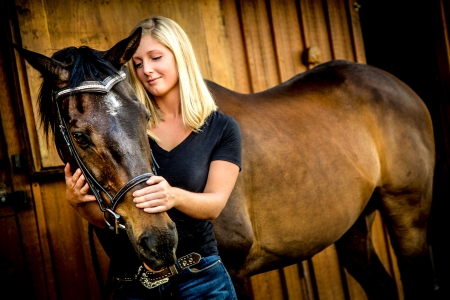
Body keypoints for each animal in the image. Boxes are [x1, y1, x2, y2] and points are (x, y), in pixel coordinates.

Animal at [14, 29, 436, 298]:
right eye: (80, 135)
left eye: (142, 117)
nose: (160, 240)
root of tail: (398, 86)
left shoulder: (234, 268)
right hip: (353, 229)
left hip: (408, 218)